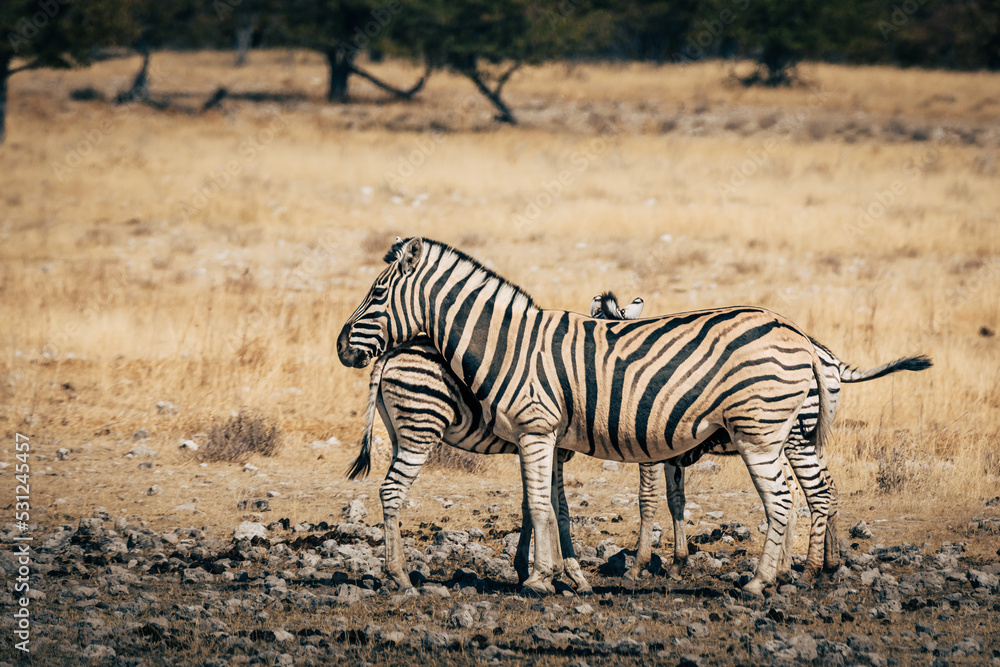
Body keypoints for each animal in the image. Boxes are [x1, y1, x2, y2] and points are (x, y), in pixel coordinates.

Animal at [345, 293, 643, 593]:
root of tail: (389, 354)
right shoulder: (551, 447)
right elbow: (558, 508)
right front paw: (570, 574)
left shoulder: (531, 444)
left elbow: (530, 503)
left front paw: (527, 569)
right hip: (422, 423)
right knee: (392, 490)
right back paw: (401, 576)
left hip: (399, 432)